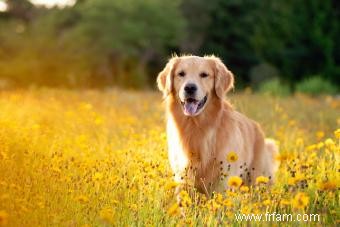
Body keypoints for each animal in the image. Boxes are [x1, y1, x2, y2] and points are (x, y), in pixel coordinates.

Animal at [157, 55, 278, 195]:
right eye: (181, 74)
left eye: (204, 75)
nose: (190, 88)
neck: (197, 127)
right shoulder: (183, 177)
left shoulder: (223, 182)